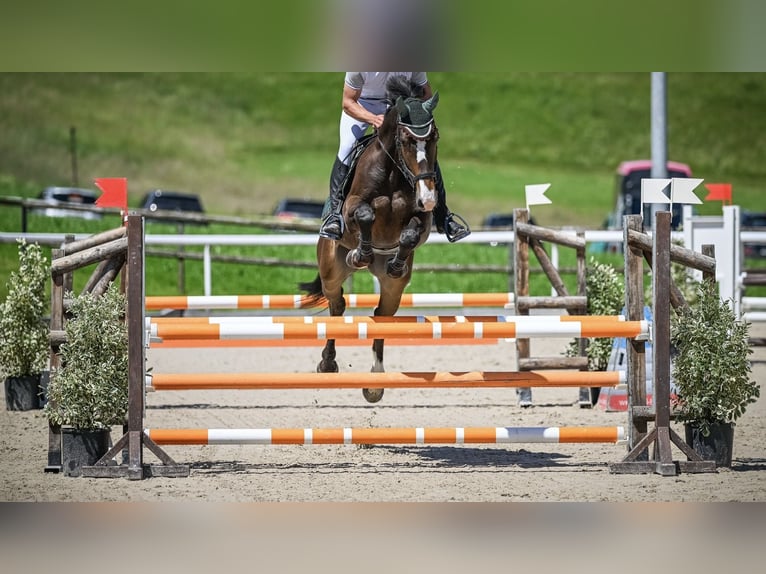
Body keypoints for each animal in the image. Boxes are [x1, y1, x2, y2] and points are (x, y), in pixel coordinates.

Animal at [302, 76, 440, 404]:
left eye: (434, 138)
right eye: (405, 140)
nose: (429, 198)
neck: (393, 173)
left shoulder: (422, 220)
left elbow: (410, 233)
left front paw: (397, 261)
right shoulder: (352, 209)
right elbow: (364, 214)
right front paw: (360, 254)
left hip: (392, 288)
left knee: (381, 315)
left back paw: (375, 383)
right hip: (331, 269)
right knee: (337, 305)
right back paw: (328, 364)